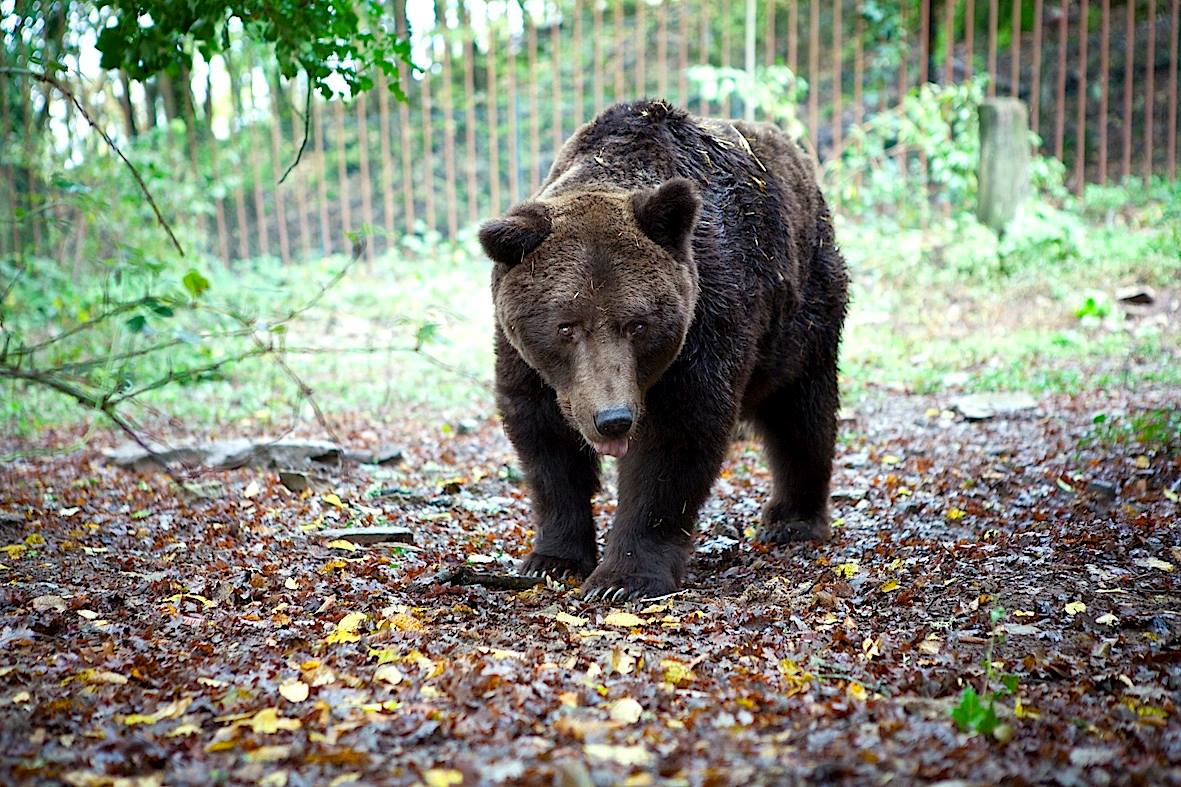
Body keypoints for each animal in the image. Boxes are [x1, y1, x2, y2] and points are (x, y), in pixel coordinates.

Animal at [479, 100, 849, 601]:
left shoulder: (706, 321)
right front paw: (552, 559)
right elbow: (546, 442)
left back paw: (792, 520)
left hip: (803, 310)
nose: (613, 418)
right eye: (566, 326)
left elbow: (674, 441)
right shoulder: (529, 363)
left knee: (802, 413)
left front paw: (622, 578)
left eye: (637, 324)